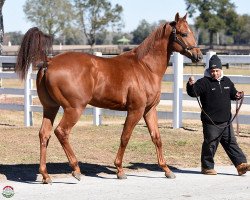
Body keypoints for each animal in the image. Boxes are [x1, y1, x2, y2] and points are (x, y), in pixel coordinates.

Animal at [15, 13, 203, 184]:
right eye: (183, 33)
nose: (199, 56)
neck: (145, 67)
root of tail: (49, 62)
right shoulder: (135, 110)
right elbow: (125, 137)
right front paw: (119, 169)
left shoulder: (149, 110)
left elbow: (156, 137)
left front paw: (166, 169)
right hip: (73, 109)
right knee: (62, 132)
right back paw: (76, 170)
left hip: (50, 108)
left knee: (44, 134)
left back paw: (46, 175)